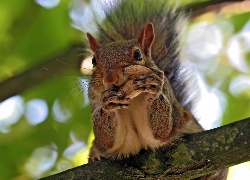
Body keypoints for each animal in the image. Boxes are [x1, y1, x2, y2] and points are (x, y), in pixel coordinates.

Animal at [85, 0, 228, 179]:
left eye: (138, 55)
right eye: (94, 61)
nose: (110, 79)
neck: (132, 102)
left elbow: (162, 131)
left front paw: (154, 88)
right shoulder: (95, 102)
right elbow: (105, 141)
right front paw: (108, 103)